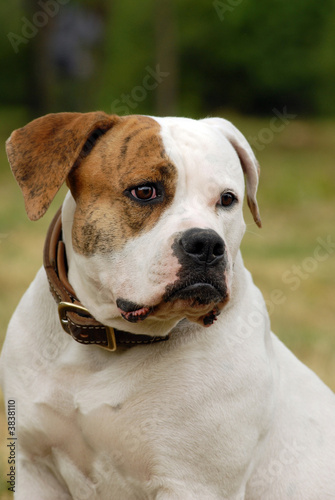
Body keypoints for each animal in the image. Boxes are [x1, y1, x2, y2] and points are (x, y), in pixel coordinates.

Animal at [0, 111, 335, 498]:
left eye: (227, 199)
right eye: (144, 191)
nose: (207, 244)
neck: (109, 342)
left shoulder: (195, 483)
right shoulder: (36, 468)